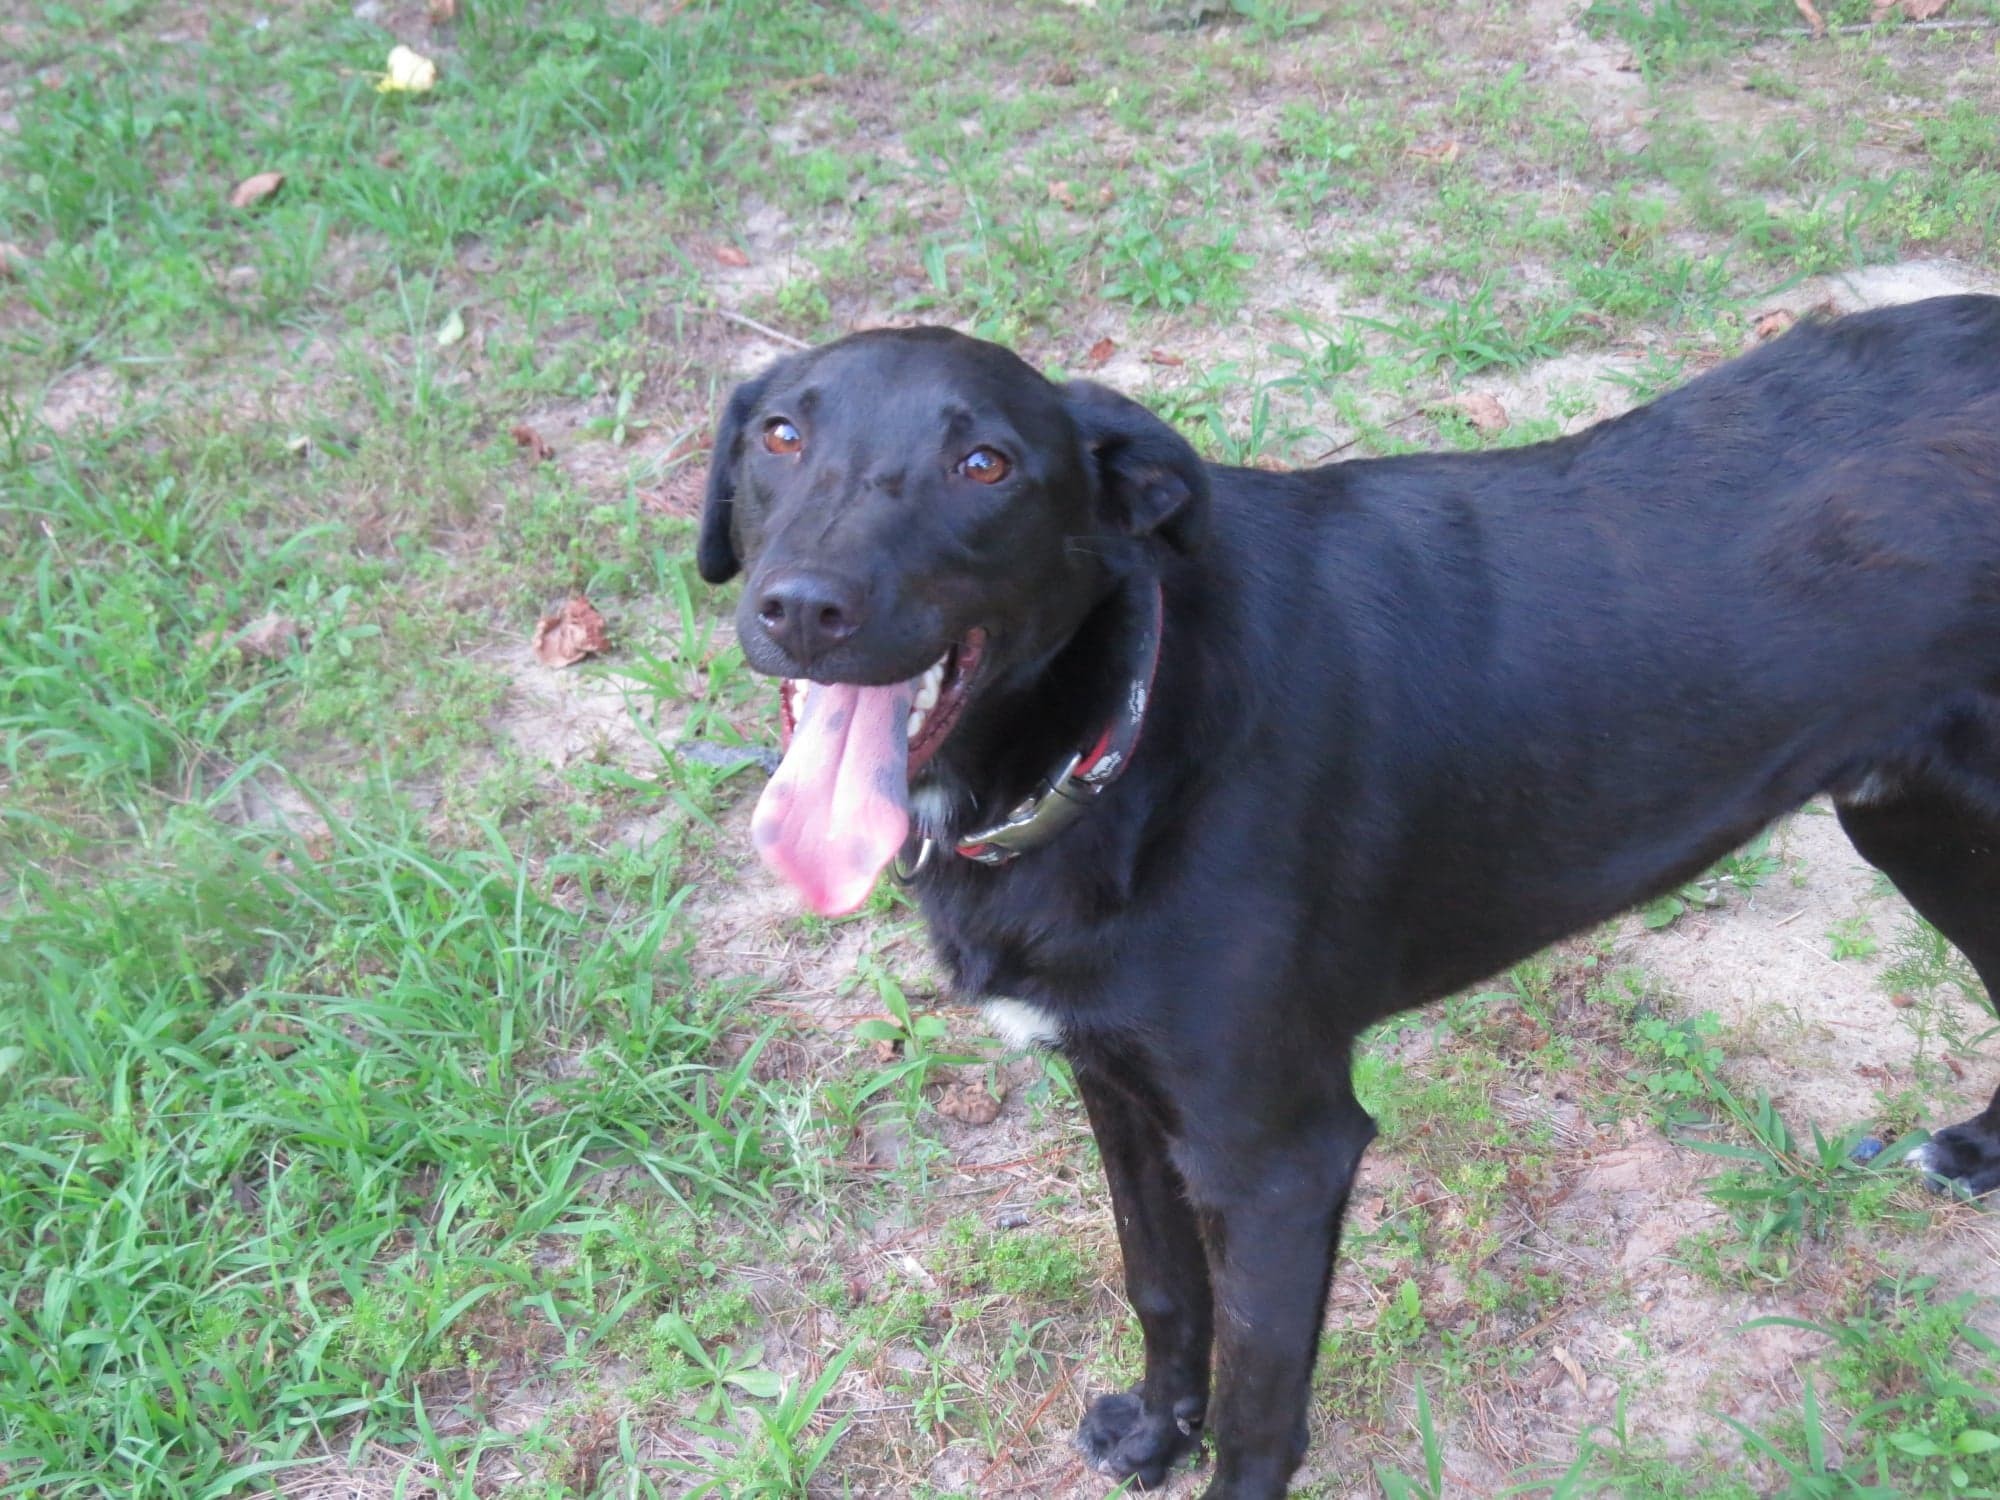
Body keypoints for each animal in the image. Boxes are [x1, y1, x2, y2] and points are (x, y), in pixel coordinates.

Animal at [696, 300, 2000, 1496]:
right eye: (778, 436)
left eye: (986, 466)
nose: (801, 608)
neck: (1128, 726)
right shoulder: (1115, 1086)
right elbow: (1159, 1284)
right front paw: (1155, 1433)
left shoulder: (1280, 1156)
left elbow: (1260, 1413)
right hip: (1910, 820)